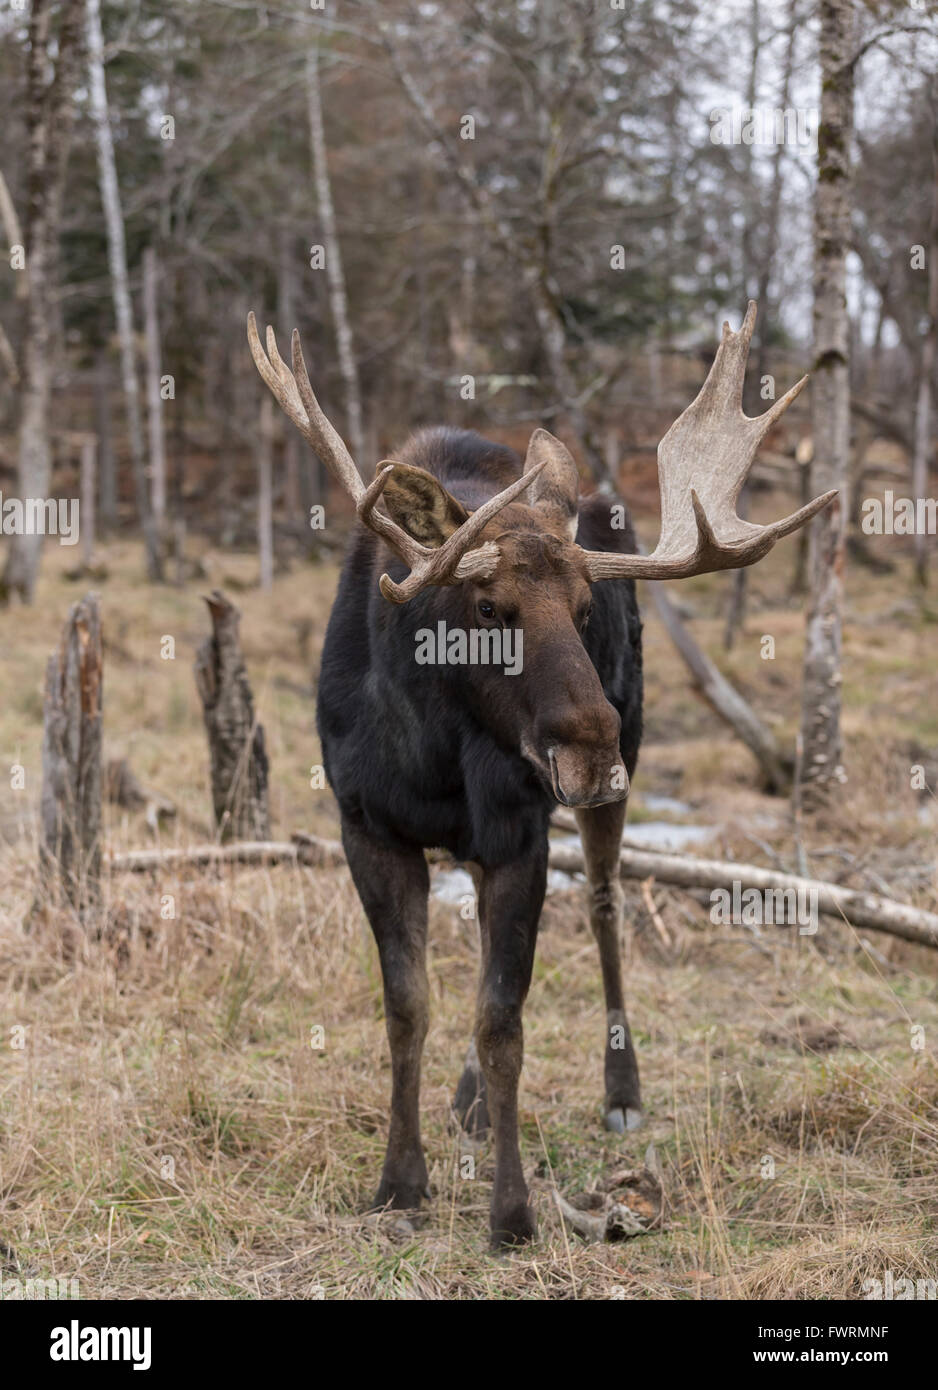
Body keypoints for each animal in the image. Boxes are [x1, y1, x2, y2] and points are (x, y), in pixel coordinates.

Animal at [247, 304, 839, 1251]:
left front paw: (512, 1211)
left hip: (603, 796)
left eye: (587, 609)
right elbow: (409, 1007)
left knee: (601, 907)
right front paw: (399, 1183)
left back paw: (620, 1092)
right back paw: (467, 1106)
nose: (593, 748)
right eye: (490, 608)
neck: (429, 747)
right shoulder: (367, 827)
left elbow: (503, 1022)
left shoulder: (517, 833)